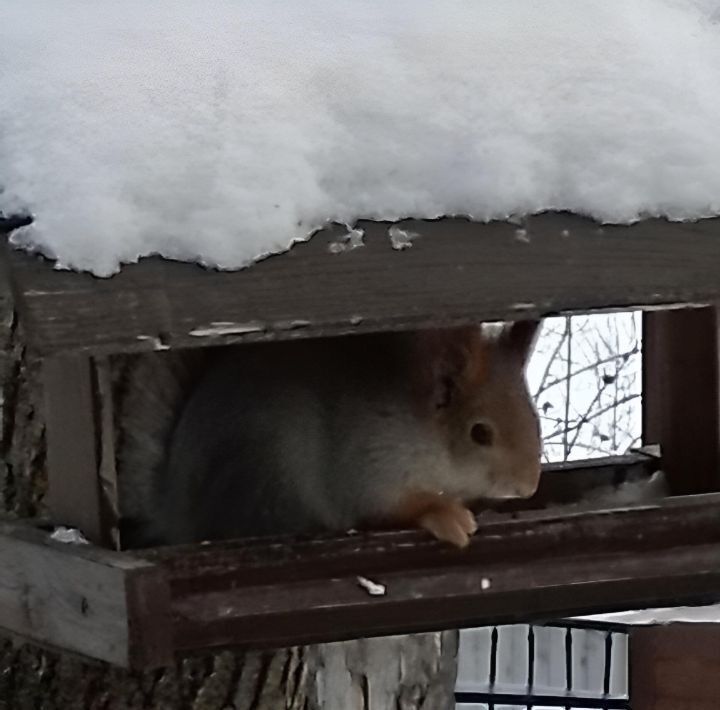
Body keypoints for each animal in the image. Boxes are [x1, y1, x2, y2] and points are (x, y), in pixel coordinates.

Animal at [118, 322, 544, 552]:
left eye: (534, 417)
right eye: (480, 433)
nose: (528, 487)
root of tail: (176, 512)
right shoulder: (370, 459)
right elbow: (389, 506)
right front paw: (446, 516)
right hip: (272, 477)